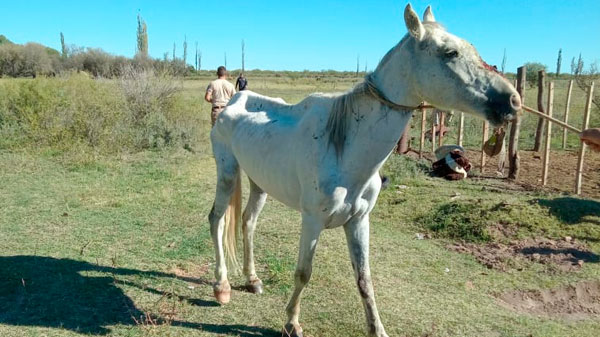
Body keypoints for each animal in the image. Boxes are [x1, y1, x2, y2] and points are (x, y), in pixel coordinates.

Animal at [207, 4, 520, 336]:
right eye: (450, 52)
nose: (513, 100)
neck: (345, 149)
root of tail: (234, 101)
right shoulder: (312, 221)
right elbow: (304, 272)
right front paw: (292, 322)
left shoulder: (358, 221)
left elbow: (364, 278)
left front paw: (377, 328)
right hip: (227, 173)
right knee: (217, 219)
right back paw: (222, 286)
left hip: (259, 183)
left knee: (248, 222)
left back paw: (252, 279)